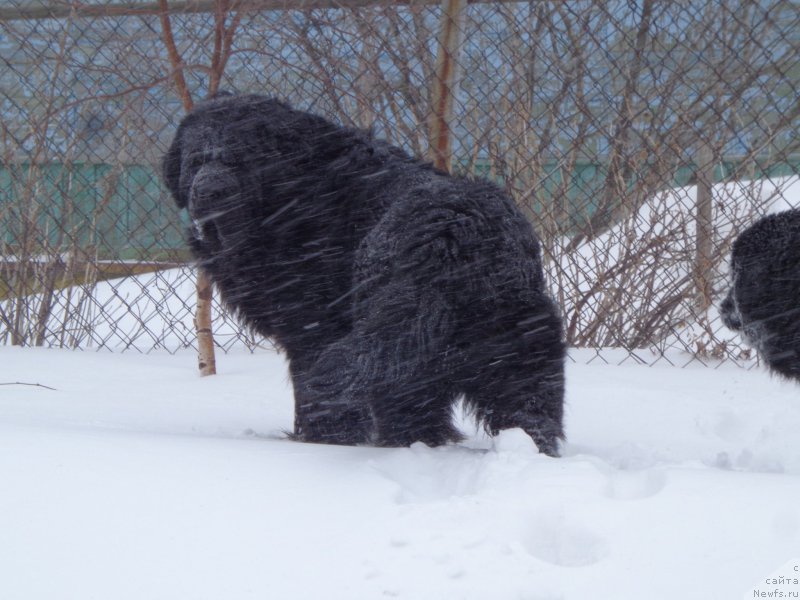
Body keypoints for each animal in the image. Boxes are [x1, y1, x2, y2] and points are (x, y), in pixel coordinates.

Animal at [162, 92, 564, 454]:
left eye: (240, 159)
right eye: (196, 161)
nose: (209, 191)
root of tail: (453, 229)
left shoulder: (312, 328)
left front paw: (319, 438)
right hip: (515, 334)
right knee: (525, 401)